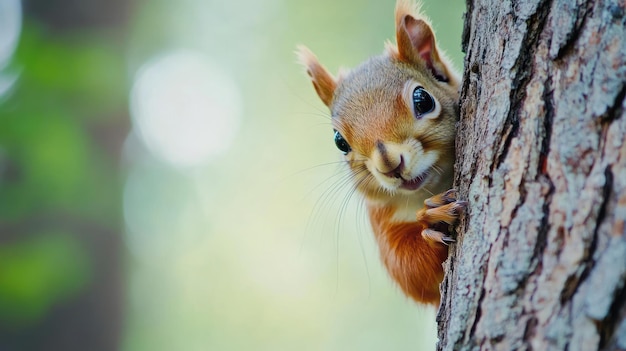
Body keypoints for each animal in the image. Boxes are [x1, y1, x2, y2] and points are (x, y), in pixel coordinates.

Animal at [296, 0, 464, 306]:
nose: (390, 165)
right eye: (339, 141)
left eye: (423, 99)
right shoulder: (381, 218)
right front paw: (432, 220)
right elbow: (410, 273)